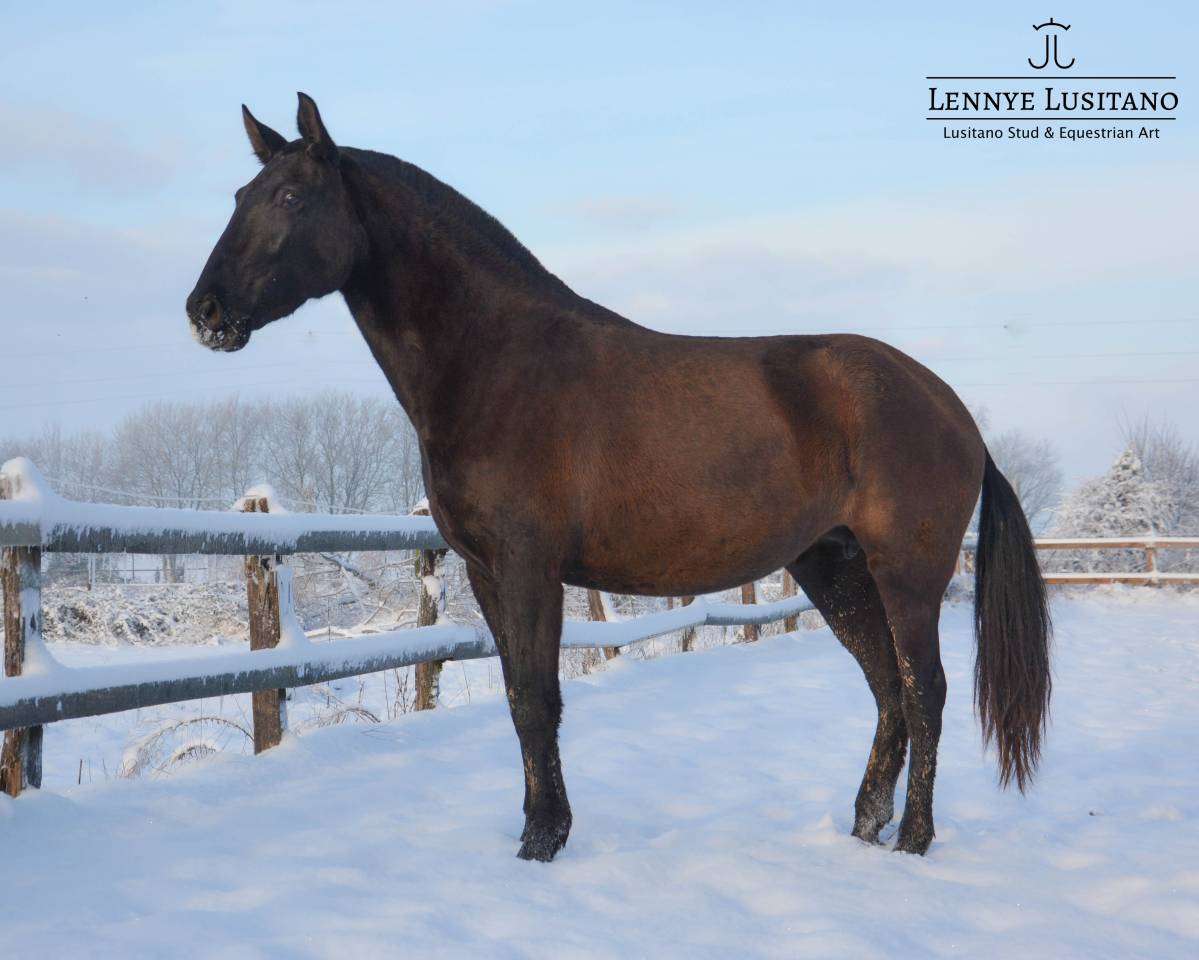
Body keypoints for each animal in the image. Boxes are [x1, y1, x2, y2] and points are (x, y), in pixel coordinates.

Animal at [187, 94, 1051, 862]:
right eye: (237, 196)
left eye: (290, 196)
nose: (205, 312)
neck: (498, 361)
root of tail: (948, 407)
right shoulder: (486, 573)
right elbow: (517, 697)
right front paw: (540, 829)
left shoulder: (530, 568)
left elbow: (539, 701)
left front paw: (542, 842)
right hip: (832, 568)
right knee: (886, 692)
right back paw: (864, 826)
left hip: (905, 572)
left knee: (924, 691)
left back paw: (913, 840)